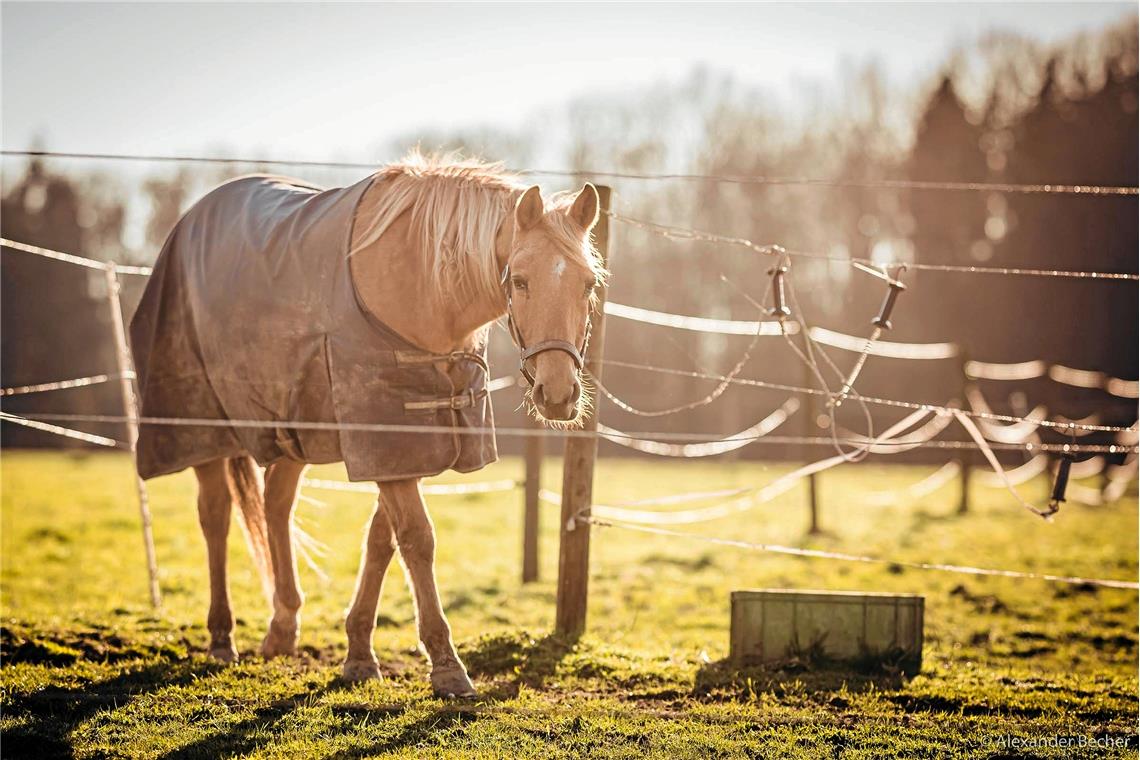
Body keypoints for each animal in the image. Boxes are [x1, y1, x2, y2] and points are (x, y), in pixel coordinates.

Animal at [129, 152, 611, 697]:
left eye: (589, 283)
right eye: (522, 280)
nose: (559, 394)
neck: (423, 291)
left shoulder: (406, 444)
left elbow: (383, 540)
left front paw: (359, 652)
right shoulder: (385, 439)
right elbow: (417, 539)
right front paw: (446, 665)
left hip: (295, 432)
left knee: (276, 507)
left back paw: (283, 626)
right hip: (202, 428)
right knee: (215, 517)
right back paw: (221, 636)